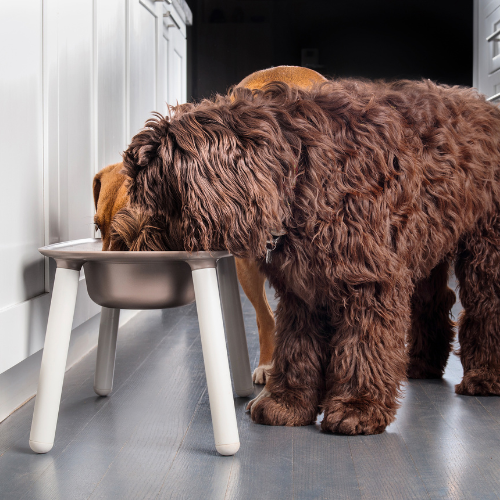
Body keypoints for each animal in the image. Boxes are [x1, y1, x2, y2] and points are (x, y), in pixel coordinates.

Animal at [115, 77, 500, 434]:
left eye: (160, 197)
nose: (128, 243)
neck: (300, 168)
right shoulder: (303, 288)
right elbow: (296, 347)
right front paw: (286, 404)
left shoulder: (370, 280)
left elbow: (362, 344)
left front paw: (357, 407)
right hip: (426, 240)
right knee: (434, 301)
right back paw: (421, 364)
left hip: (485, 246)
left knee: (486, 305)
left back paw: (484, 376)